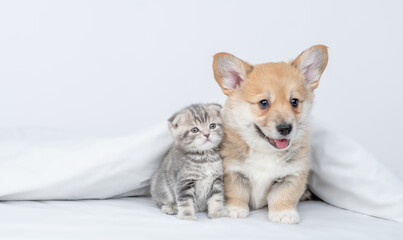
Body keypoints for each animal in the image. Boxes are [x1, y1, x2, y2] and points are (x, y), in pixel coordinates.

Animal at [211, 45, 328, 223]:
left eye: (294, 102)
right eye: (263, 103)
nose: (285, 128)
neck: (264, 150)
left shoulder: (292, 175)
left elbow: (284, 196)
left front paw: (284, 214)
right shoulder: (233, 172)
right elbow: (236, 193)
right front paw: (234, 210)